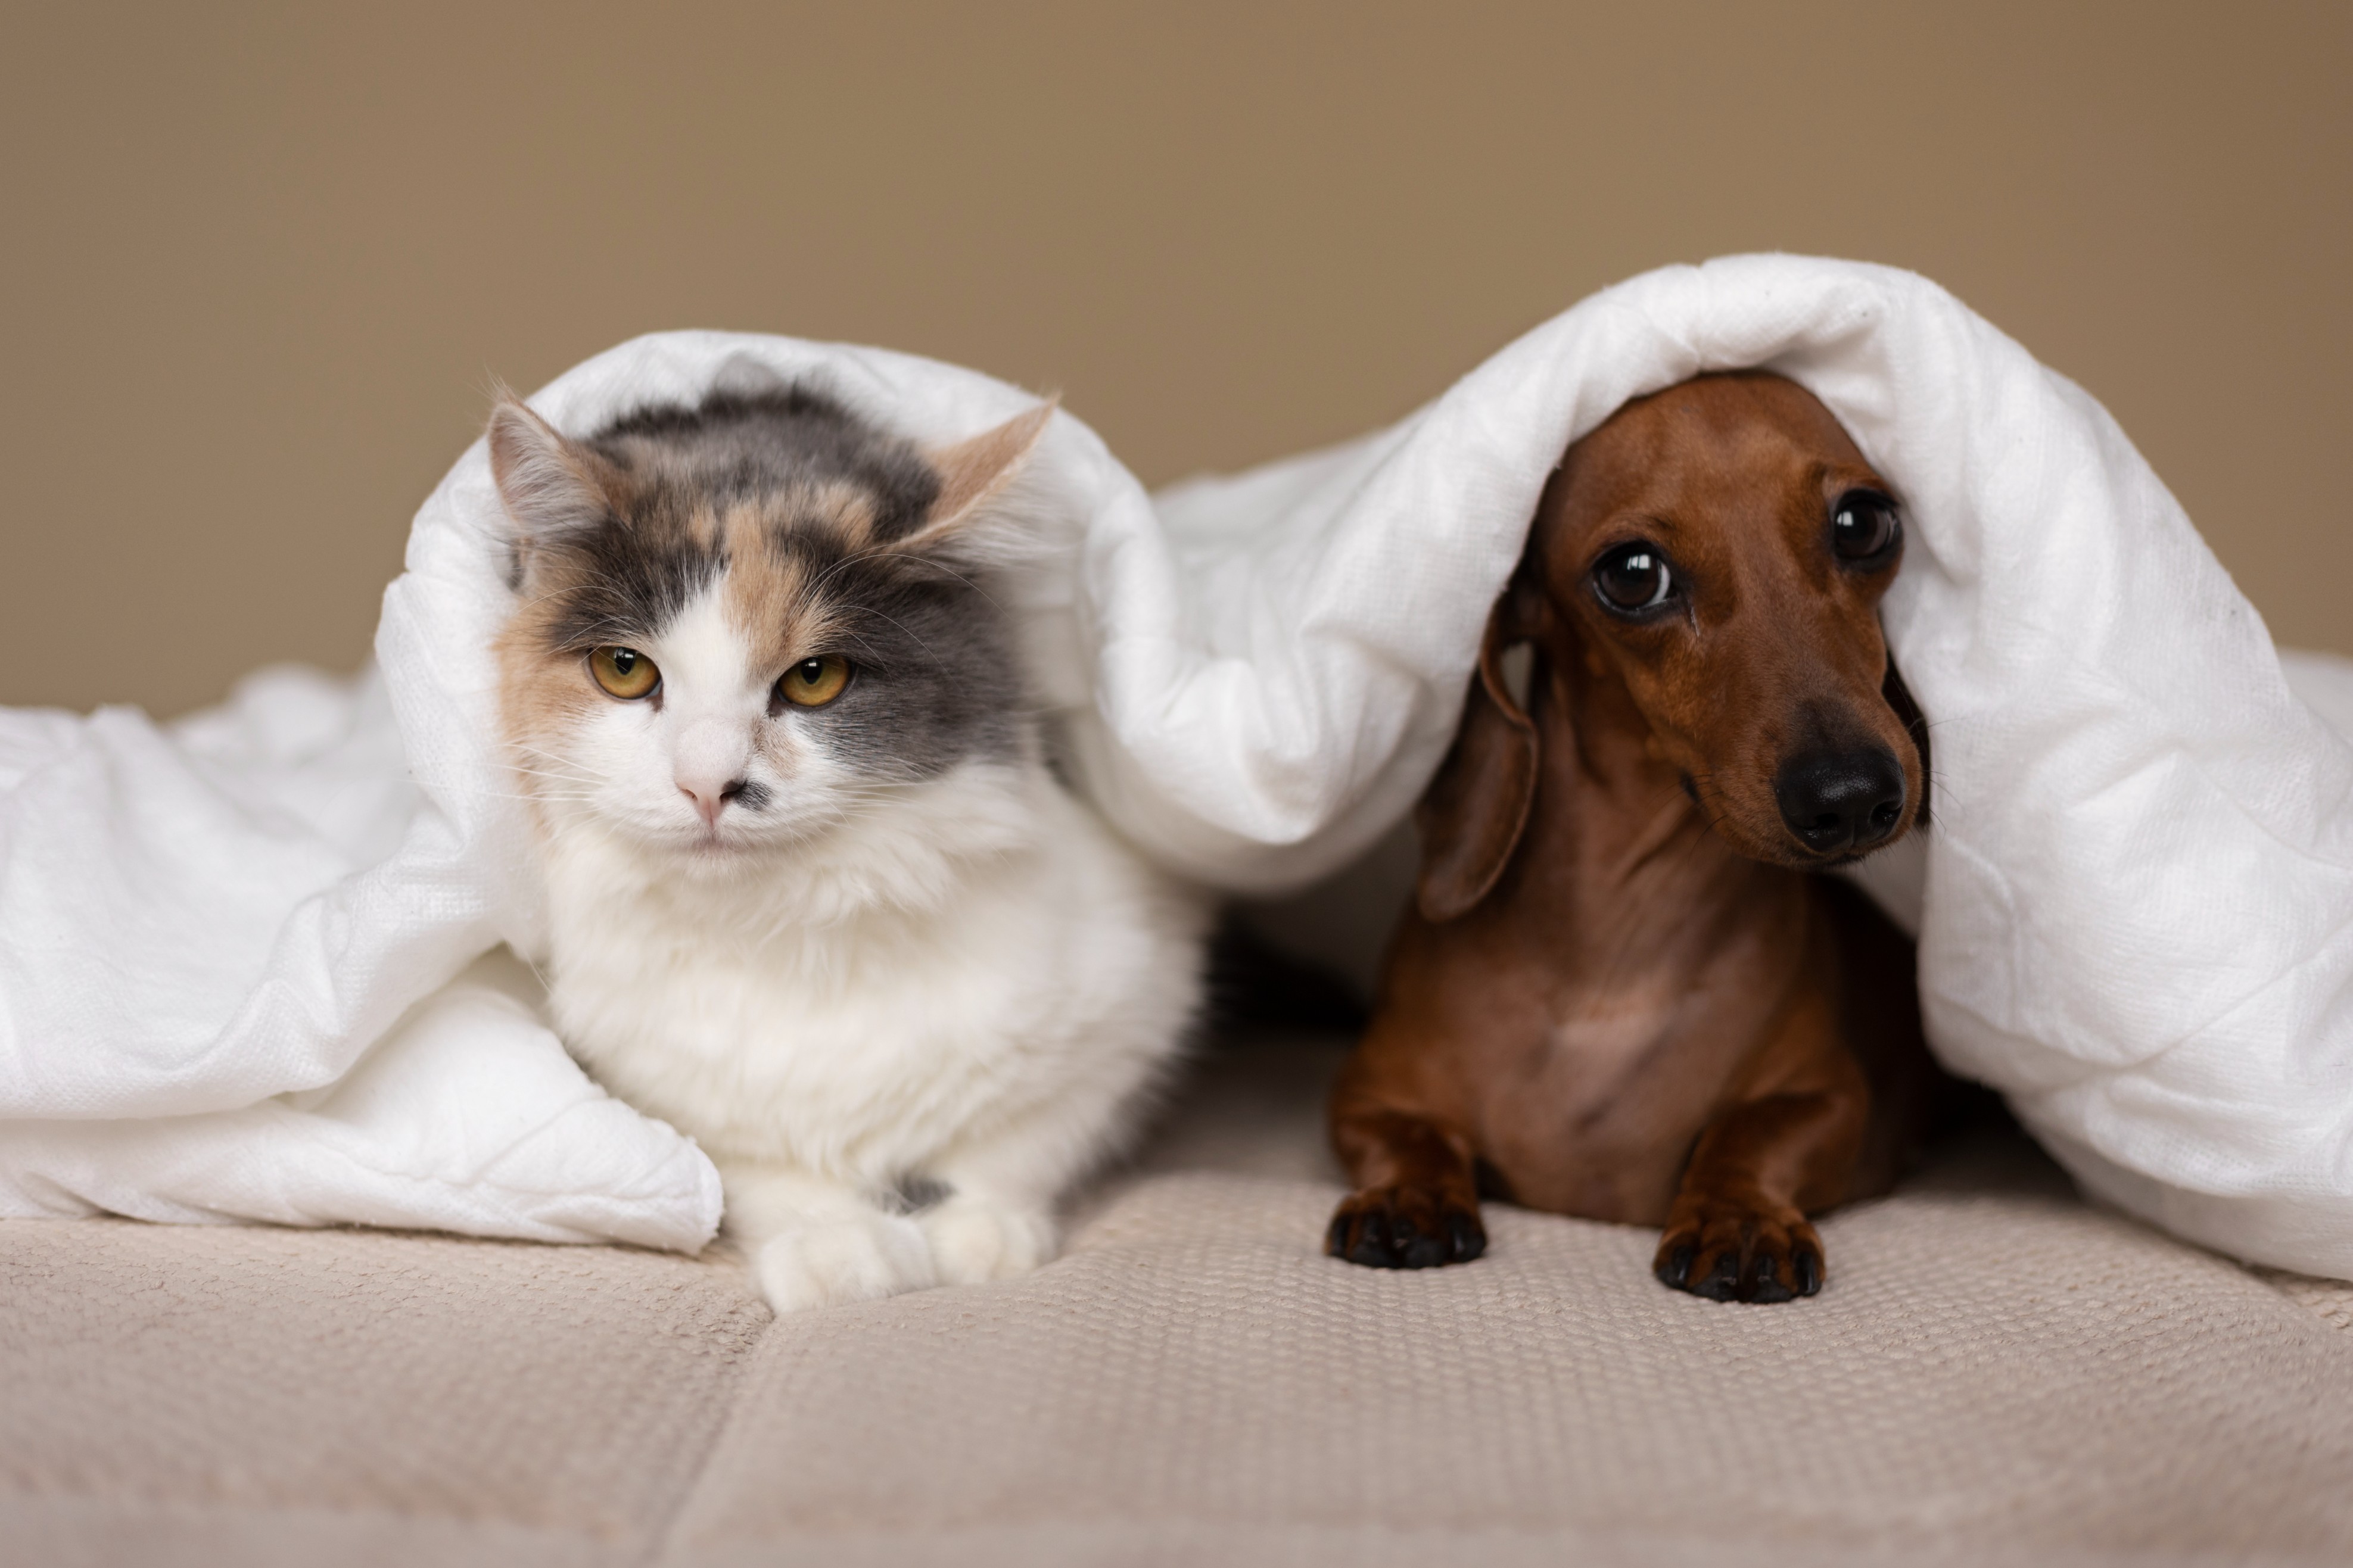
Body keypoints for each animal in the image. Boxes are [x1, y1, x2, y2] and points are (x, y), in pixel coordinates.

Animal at [484, 381, 1204, 1316]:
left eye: (815, 678)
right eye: (623, 669)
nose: (707, 785)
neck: (794, 928)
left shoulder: (1135, 992)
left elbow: (1019, 1137)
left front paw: (978, 1235)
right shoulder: (657, 1081)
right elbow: (759, 1165)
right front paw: (841, 1247)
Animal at [1327, 369, 1948, 1298]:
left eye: (1862, 524)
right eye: (1630, 576)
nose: (1851, 795)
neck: (1613, 960)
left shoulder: (1828, 1098)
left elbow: (1750, 1133)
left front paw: (1737, 1214)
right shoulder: (1366, 1091)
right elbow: (1403, 1132)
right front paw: (1409, 1195)